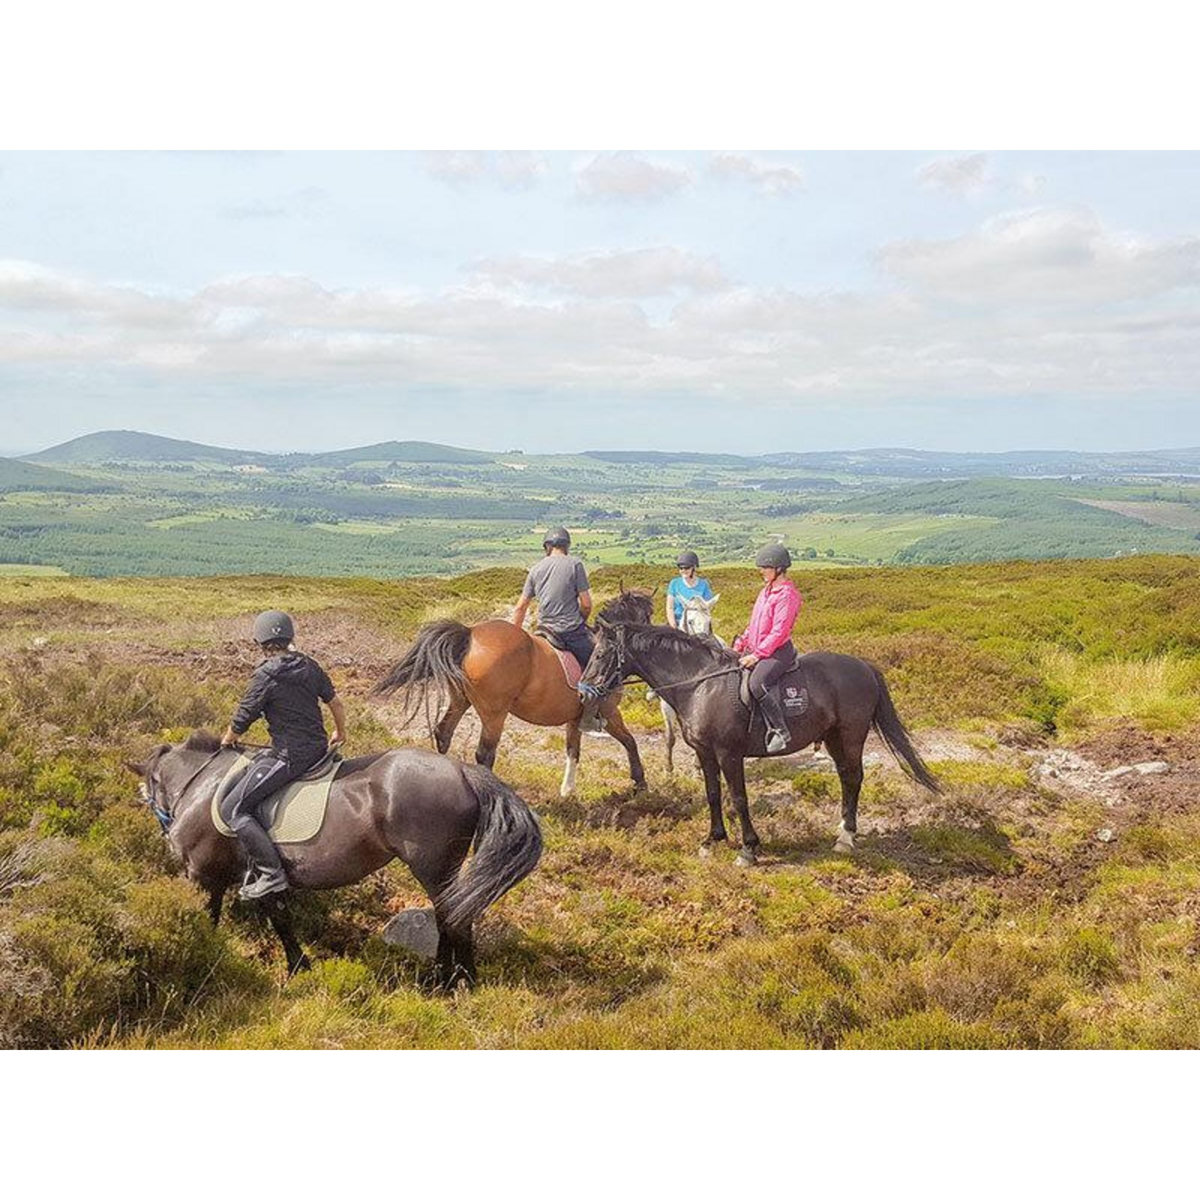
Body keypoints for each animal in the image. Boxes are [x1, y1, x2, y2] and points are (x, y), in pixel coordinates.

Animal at [125, 731, 542, 987]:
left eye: (150, 788)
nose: (168, 833)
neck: (202, 785)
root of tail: (462, 770)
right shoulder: (257, 876)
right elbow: (279, 918)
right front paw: (298, 965)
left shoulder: (202, 875)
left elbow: (208, 920)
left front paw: (207, 958)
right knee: (453, 916)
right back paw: (450, 979)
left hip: (433, 867)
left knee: (453, 917)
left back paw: (451, 982)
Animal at [373, 590, 653, 799]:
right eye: (648, 614)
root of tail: (471, 635)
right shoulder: (609, 712)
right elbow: (630, 741)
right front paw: (640, 782)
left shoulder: (575, 718)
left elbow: (573, 750)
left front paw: (567, 790)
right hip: (494, 712)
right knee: (484, 753)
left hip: (461, 700)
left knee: (444, 733)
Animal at [579, 620, 939, 866]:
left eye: (600, 653)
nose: (583, 692)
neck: (700, 685)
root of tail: (864, 666)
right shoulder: (705, 752)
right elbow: (712, 794)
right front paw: (712, 840)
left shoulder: (728, 753)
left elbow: (739, 798)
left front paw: (748, 849)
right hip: (834, 738)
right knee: (846, 779)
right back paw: (842, 833)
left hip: (850, 735)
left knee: (853, 778)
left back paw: (847, 837)